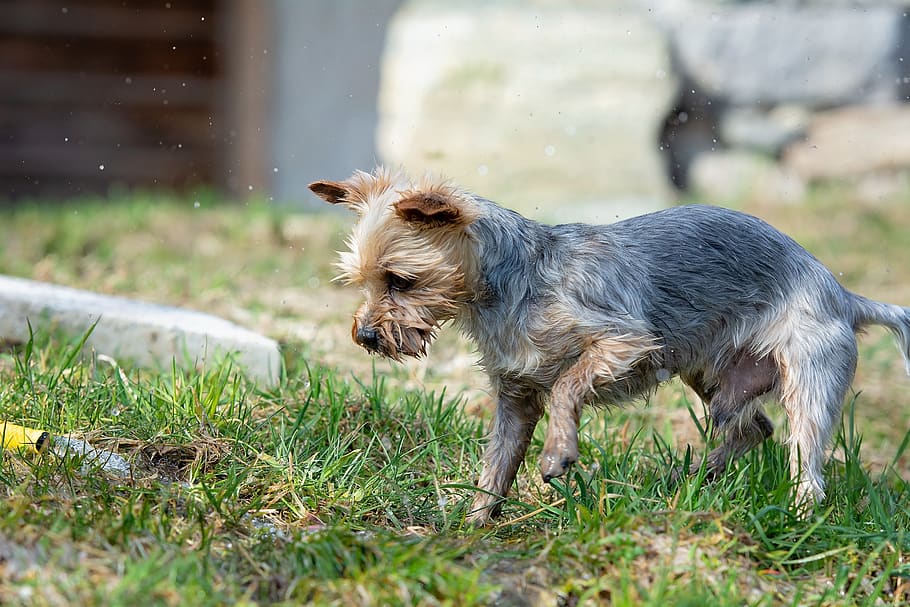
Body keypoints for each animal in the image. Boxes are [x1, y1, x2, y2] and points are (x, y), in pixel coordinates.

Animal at [312, 169, 910, 524]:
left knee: (805, 458)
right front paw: (473, 523)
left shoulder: (625, 342)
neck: (510, 284)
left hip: (809, 377)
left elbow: (566, 386)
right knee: (751, 427)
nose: (365, 336)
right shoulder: (515, 396)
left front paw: (558, 452)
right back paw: (689, 481)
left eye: (400, 280)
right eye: (361, 282)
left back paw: (800, 514)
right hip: (711, 373)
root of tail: (845, 295)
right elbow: (497, 464)